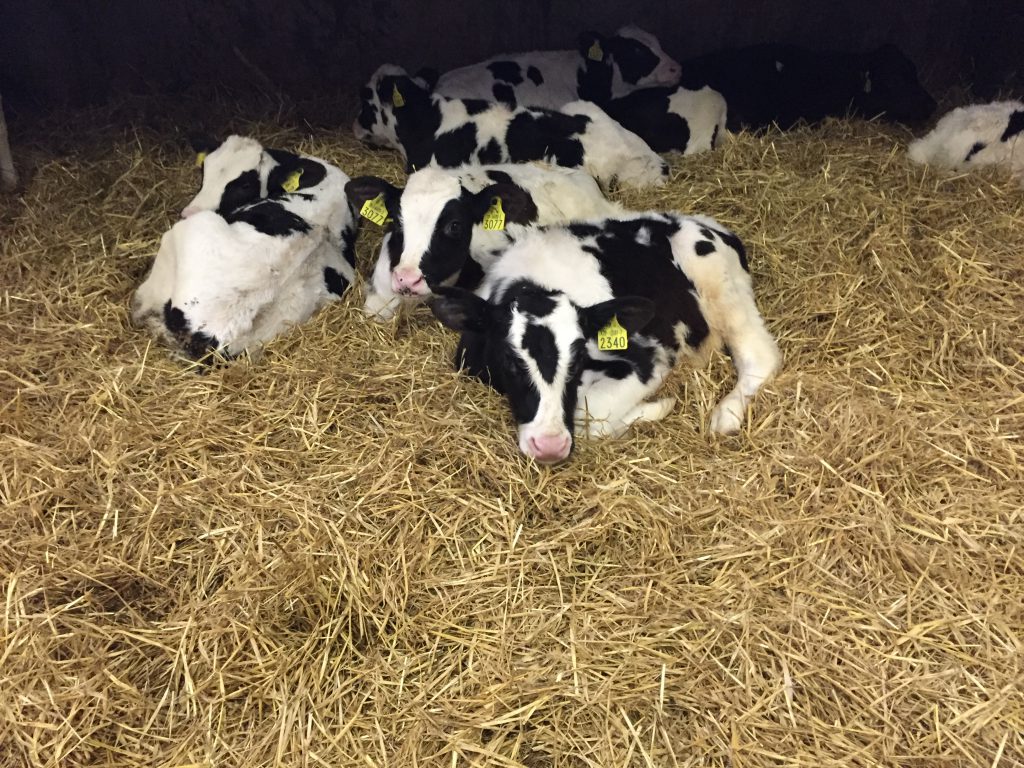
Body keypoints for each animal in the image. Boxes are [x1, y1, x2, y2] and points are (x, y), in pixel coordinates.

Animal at [427, 212, 781, 464]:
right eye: (508, 361)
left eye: (577, 361)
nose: (549, 446)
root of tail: (707, 224)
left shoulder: (650, 357)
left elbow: (588, 412)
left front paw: (658, 407)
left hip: (723, 289)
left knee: (760, 356)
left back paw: (725, 416)